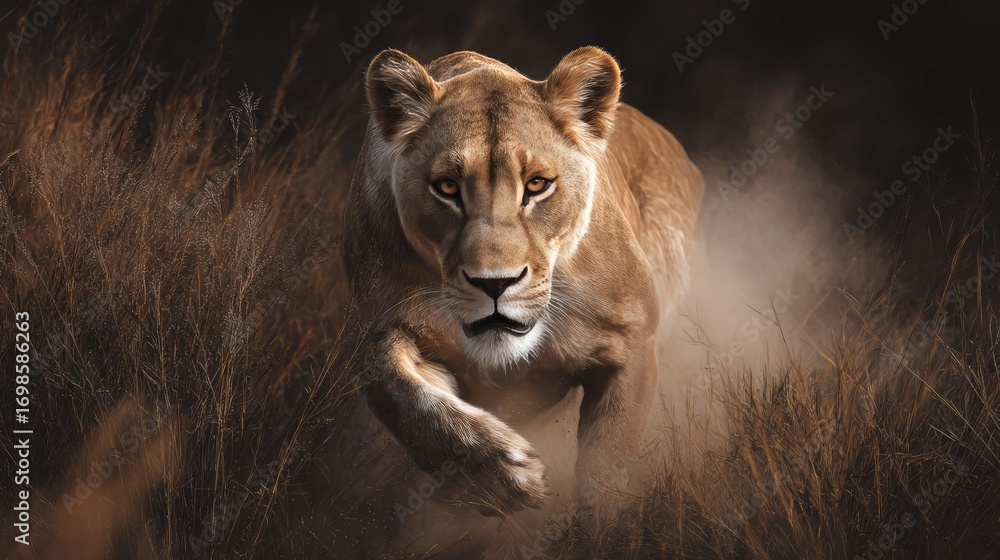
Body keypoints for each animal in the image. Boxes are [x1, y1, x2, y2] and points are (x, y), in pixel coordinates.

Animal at [342, 46, 702, 516]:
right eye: (446, 187)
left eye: (537, 184)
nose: (495, 284)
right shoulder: (380, 326)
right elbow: (405, 398)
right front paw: (501, 477)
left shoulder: (633, 342)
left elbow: (607, 471)